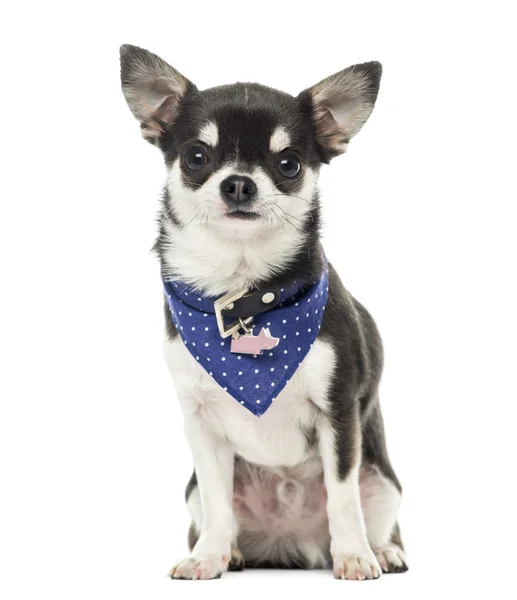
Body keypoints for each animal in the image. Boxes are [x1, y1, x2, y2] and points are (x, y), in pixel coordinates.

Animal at [119, 44, 406, 580]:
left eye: (289, 164)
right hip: (194, 492)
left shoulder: (339, 414)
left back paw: (378, 550)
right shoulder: (202, 427)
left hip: (382, 481)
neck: (243, 290)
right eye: (196, 157)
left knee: (368, 510)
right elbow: (218, 498)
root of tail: (288, 543)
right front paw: (207, 557)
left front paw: (354, 558)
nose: (238, 184)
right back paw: (228, 551)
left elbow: (342, 497)